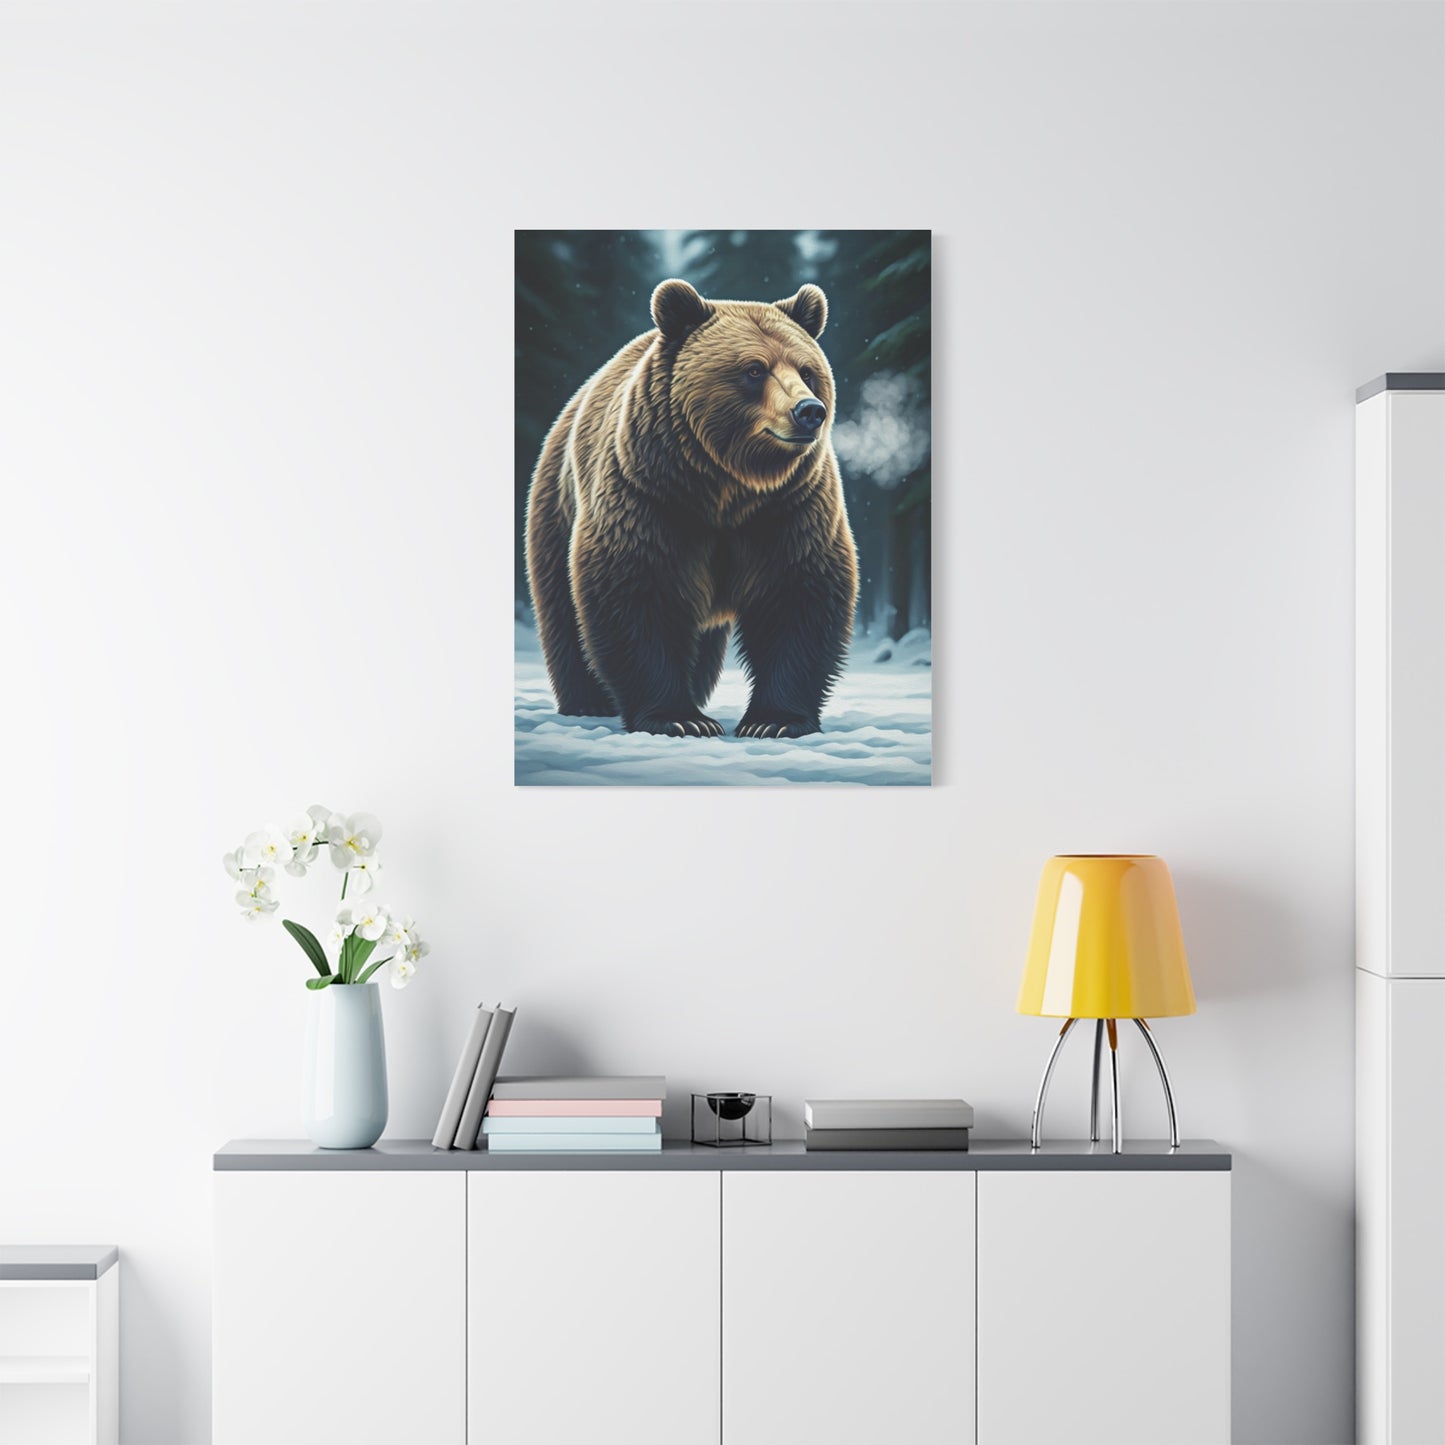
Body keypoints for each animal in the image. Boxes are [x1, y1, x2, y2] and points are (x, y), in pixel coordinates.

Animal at [524, 278, 859, 739]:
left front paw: (774, 721)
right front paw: (679, 718)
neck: (725, 487)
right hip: (558, 504)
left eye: (807, 370)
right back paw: (588, 703)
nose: (809, 410)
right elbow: (636, 592)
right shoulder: (649, 498)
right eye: (754, 369)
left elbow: (799, 595)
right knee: (563, 610)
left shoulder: (791, 508)